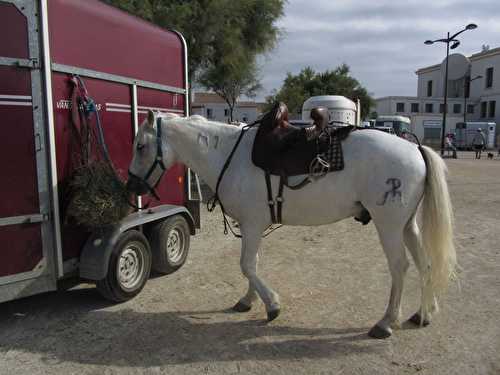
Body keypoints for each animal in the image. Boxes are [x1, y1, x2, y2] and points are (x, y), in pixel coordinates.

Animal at [127, 111, 456, 340]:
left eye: (141, 146)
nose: (131, 186)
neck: (228, 155)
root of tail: (415, 149)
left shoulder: (252, 223)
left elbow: (247, 265)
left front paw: (272, 305)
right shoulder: (251, 226)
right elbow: (253, 263)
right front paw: (248, 300)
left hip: (388, 225)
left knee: (400, 267)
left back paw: (386, 323)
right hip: (407, 225)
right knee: (424, 263)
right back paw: (423, 313)